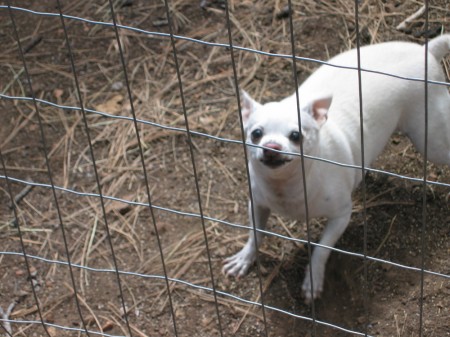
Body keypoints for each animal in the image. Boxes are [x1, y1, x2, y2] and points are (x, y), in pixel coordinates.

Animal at [223, 34, 450, 302]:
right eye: (256, 134)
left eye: (296, 135)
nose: (271, 147)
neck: (285, 187)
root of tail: (427, 50)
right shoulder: (257, 203)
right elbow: (255, 233)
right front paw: (245, 258)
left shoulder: (341, 215)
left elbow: (321, 249)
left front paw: (313, 279)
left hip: (433, 142)